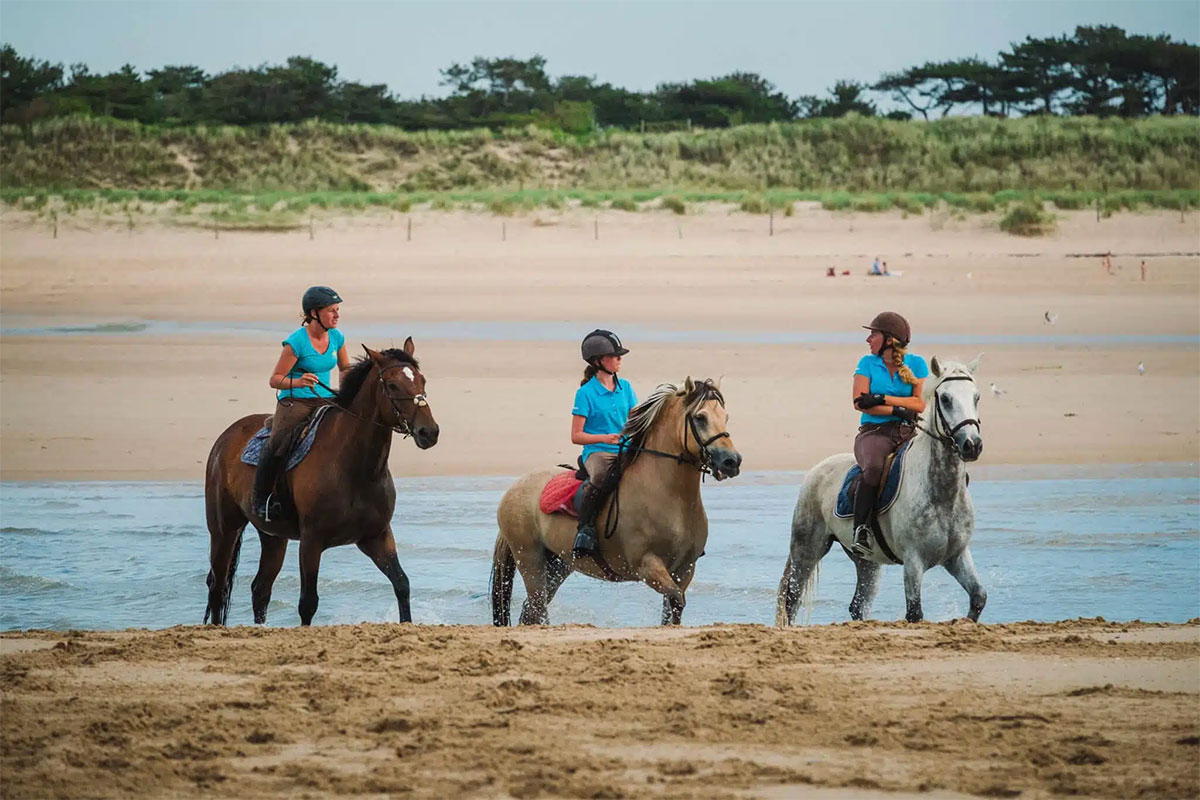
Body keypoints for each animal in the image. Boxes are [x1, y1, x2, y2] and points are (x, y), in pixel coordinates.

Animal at [201, 338, 441, 623]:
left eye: (422, 380)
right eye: (392, 385)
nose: (429, 432)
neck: (354, 469)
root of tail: (225, 438)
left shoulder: (377, 536)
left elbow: (402, 584)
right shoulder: (311, 541)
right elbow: (308, 603)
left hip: (273, 537)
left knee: (260, 589)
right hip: (224, 529)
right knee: (217, 586)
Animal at [489, 379, 739, 628]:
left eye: (725, 417)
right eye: (700, 417)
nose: (732, 461)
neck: (670, 497)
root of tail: (514, 488)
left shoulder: (685, 568)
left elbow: (673, 608)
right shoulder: (647, 565)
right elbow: (676, 598)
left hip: (558, 565)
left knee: (530, 610)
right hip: (530, 559)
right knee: (537, 607)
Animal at [777, 357, 984, 623]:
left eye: (976, 397)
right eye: (946, 399)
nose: (972, 445)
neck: (942, 494)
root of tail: (817, 469)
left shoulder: (957, 556)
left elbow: (978, 597)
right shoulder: (913, 560)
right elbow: (914, 612)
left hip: (867, 561)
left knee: (858, 606)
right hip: (807, 549)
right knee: (792, 599)